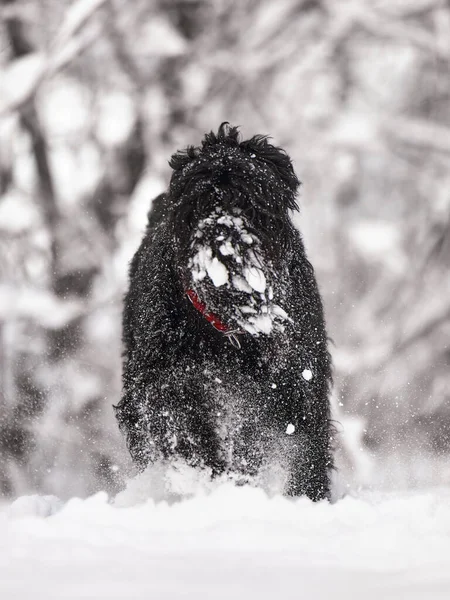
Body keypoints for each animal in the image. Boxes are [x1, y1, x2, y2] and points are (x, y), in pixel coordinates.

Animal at [115, 125, 334, 502]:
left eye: (250, 197)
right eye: (200, 199)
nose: (224, 234)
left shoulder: (297, 382)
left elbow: (301, 447)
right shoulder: (163, 380)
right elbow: (185, 428)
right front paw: (209, 477)